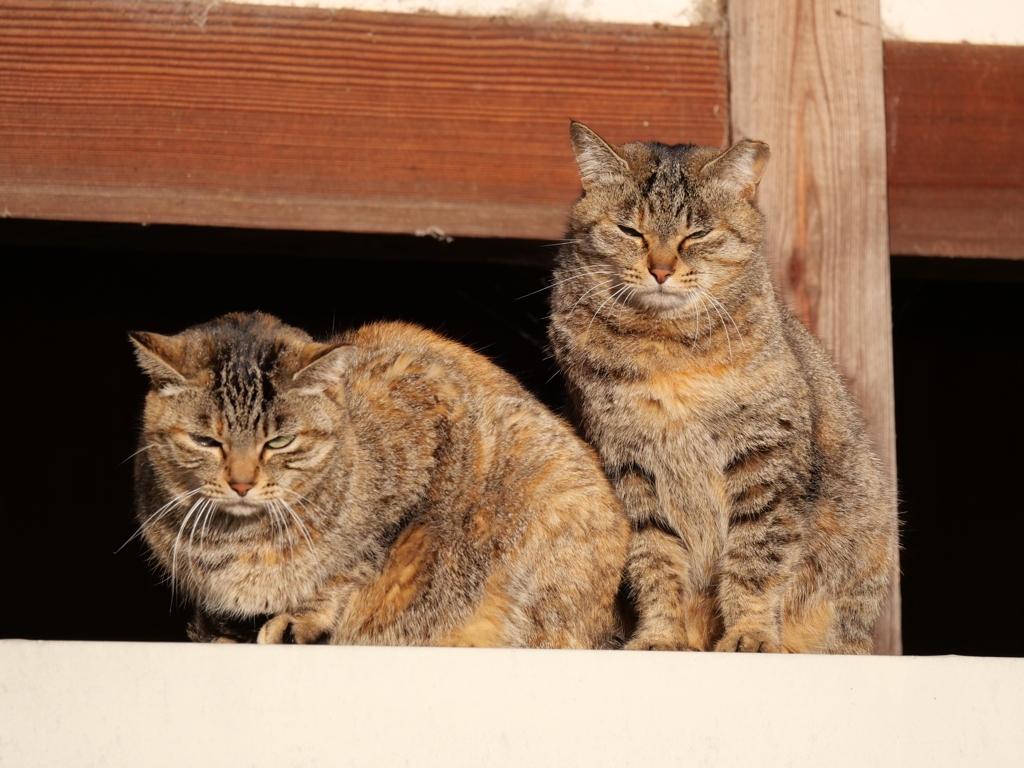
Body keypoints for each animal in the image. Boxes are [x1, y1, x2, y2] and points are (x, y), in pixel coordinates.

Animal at [132, 313, 626, 651]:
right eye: (205, 440)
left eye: (280, 441)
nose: (240, 483)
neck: (236, 540)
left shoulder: (427, 414)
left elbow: (351, 566)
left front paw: (299, 620)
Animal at [552, 123, 897, 651]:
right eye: (630, 231)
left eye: (697, 234)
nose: (660, 269)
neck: (665, 347)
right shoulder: (628, 468)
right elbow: (654, 560)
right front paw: (660, 635)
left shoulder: (765, 458)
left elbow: (756, 558)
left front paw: (750, 633)